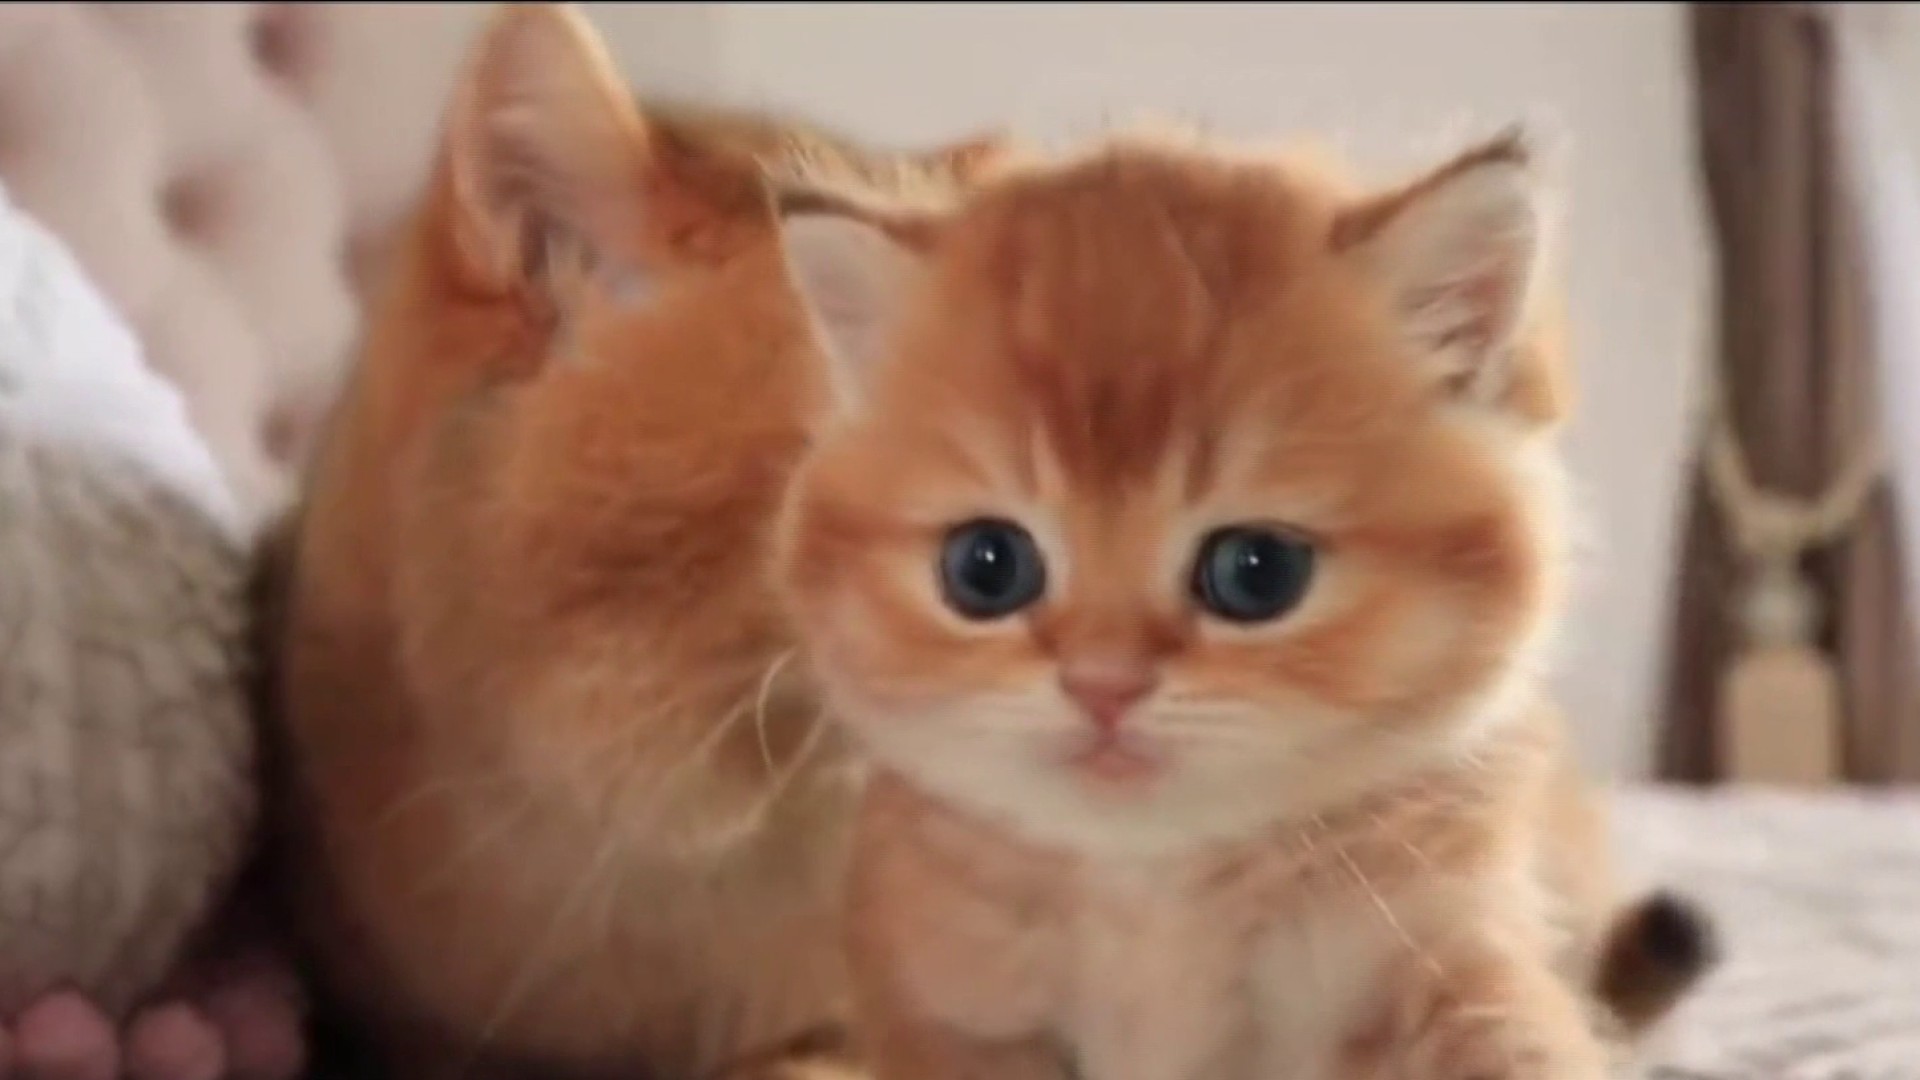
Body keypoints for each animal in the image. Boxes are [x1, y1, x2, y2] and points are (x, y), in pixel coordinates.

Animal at [769, 126, 1716, 1080]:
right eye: (986, 568)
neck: (1157, 887)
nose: (1103, 684)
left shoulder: (1442, 951)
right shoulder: (955, 1013)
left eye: (1258, 573)